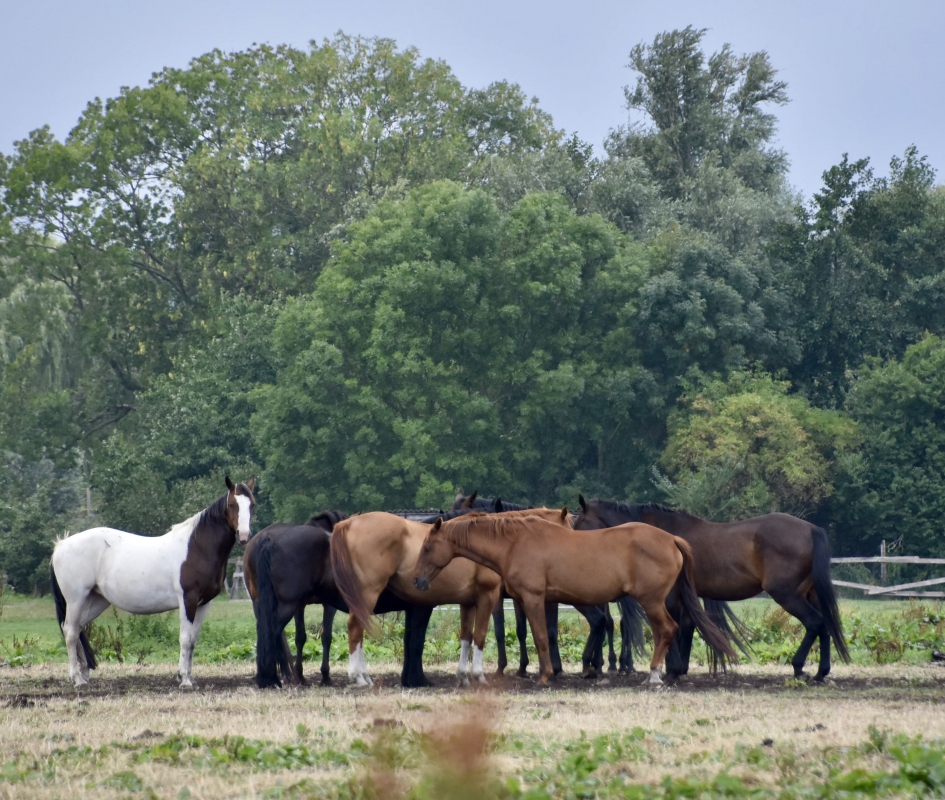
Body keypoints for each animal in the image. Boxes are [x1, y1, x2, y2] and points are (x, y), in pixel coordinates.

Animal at [50, 476, 256, 688]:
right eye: (232, 504)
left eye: (252, 505)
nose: (243, 536)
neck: (197, 547)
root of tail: (61, 545)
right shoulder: (187, 601)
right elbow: (185, 639)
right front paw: (184, 680)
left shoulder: (203, 604)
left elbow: (193, 641)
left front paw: (190, 677)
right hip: (76, 600)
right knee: (71, 632)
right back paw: (77, 679)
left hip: (95, 601)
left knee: (78, 630)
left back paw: (83, 675)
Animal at [330, 506, 572, 687]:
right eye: (568, 529)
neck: (497, 543)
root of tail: (349, 523)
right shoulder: (487, 596)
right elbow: (480, 636)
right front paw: (479, 676)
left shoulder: (467, 603)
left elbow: (466, 637)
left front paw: (463, 677)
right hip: (368, 593)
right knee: (354, 628)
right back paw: (359, 678)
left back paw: (365, 677)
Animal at [413, 513, 736, 685]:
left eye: (427, 547)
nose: (417, 580)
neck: (514, 542)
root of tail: (671, 539)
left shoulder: (534, 598)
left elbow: (542, 637)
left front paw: (545, 675)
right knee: (663, 632)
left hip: (652, 601)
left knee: (668, 630)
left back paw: (655, 675)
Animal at [452, 492, 644, 678]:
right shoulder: (522, 597)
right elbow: (525, 630)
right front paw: (529, 667)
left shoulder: (504, 596)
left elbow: (510, 630)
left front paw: (509, 667)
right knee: (609, 623)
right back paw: (603, 665)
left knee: (605, 622)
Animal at [573, 498, 850, 682]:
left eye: (580, 524)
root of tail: (811, 529)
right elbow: (686, 627)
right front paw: (680, 669)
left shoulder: (670, 597)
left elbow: (673, 627)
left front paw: (672, 669)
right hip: (809, 594)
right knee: (824, 625)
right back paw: (821, 672)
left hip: (787, 594)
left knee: (814, 622)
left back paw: (799, 666)